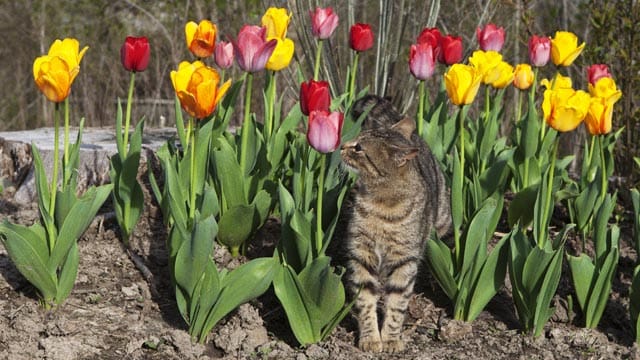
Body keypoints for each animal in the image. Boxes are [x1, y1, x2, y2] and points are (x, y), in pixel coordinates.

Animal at [340, 94, 450, 352]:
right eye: (356, 141)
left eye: (359, 148)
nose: (342, 145)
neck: (383, 203)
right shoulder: (361, 253)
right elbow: (365, 299)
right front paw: (371, 338)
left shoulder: (404, 259)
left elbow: (397, 303)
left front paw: (390, 338)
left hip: (442, 222)